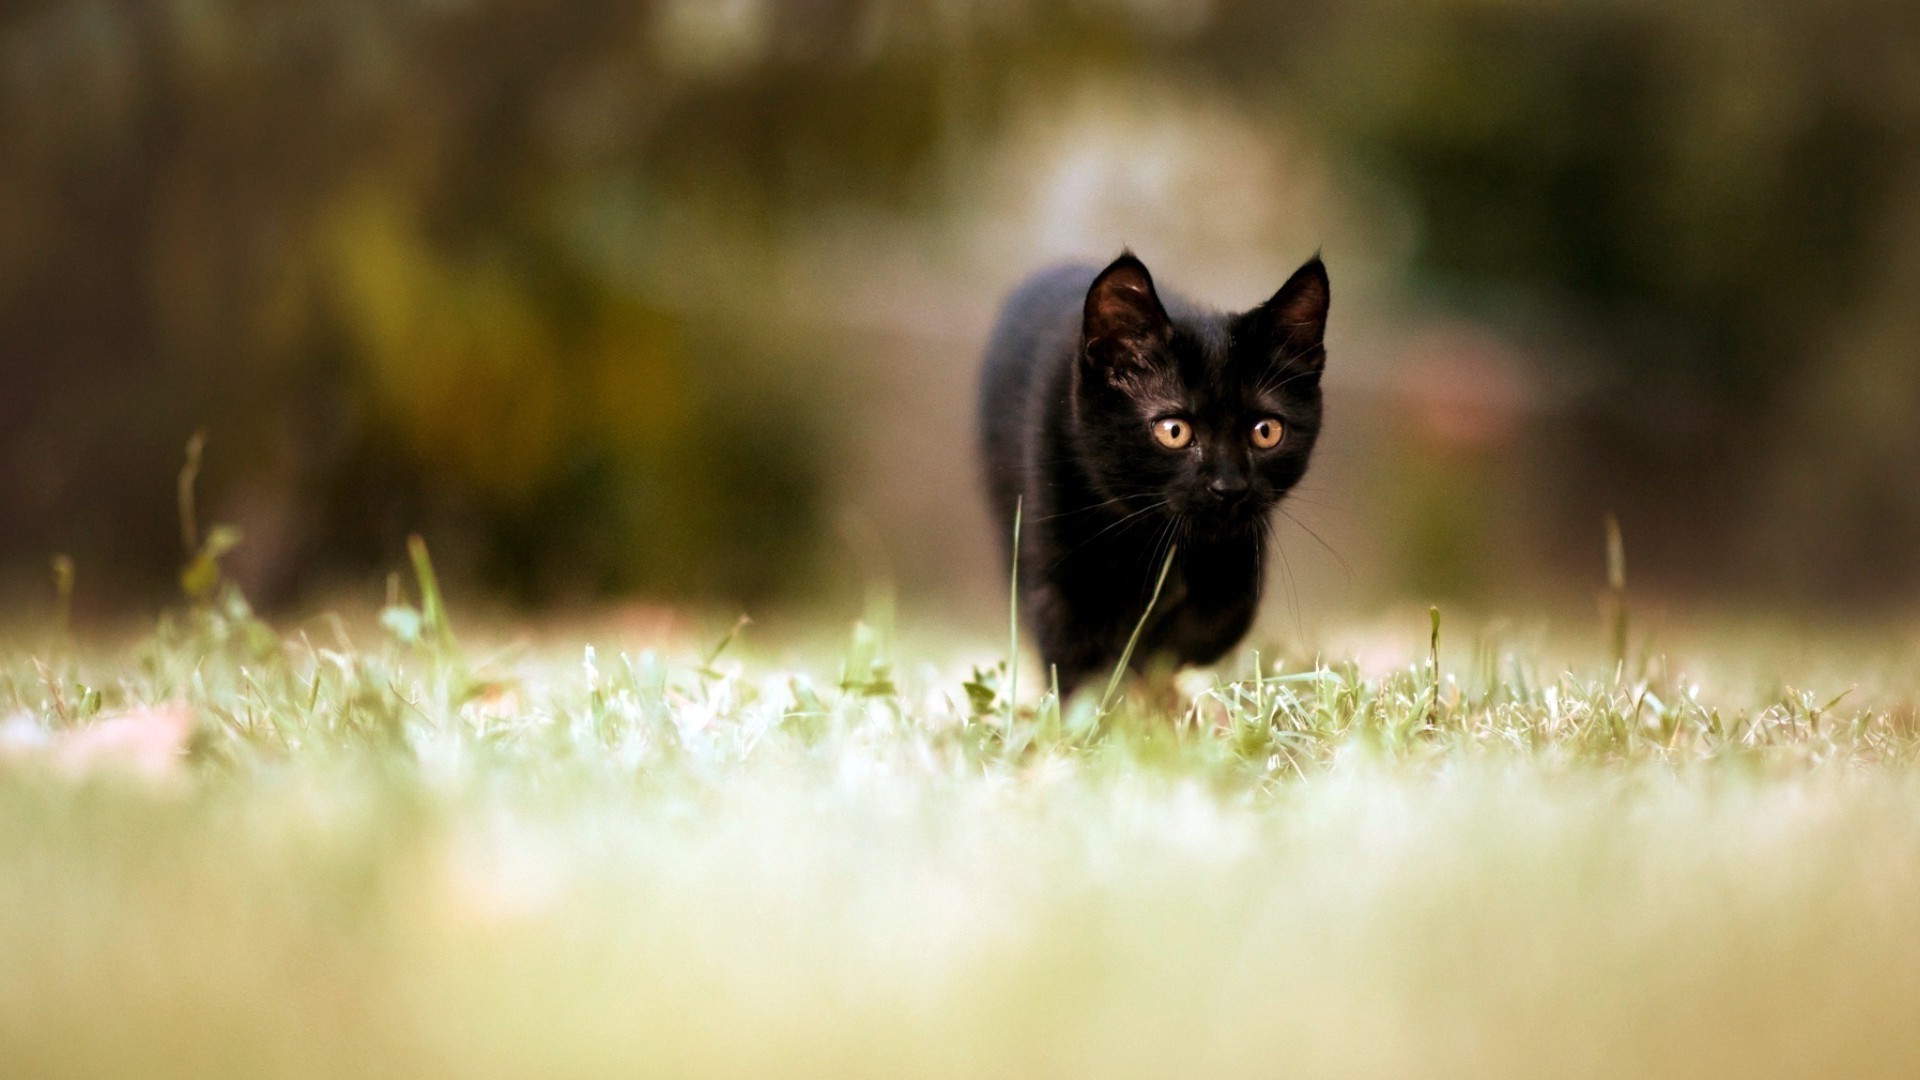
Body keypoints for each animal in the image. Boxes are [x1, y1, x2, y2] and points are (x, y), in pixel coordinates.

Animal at [983, 249, 1328, 691]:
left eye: (1266, 431)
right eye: (1174, 431)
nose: (1229, 486)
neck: (1149, 536)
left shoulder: (1242, 552)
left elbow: (1212, 624)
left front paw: (1149, 662)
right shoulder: (1054, 564)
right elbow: (1074, 653)